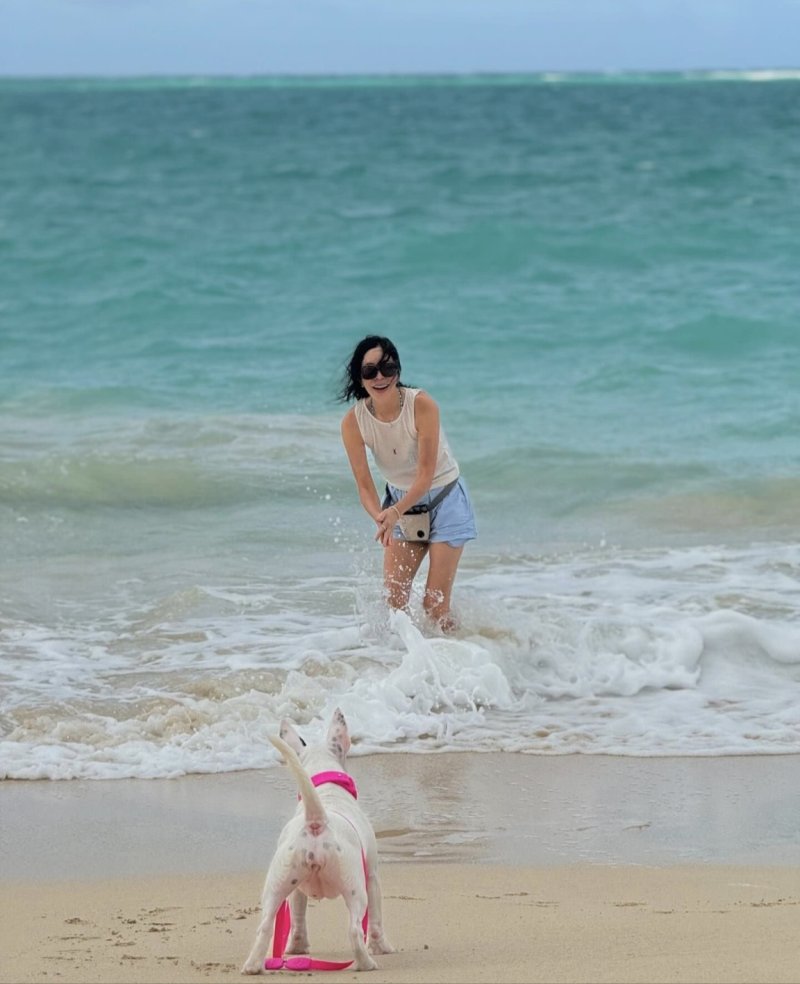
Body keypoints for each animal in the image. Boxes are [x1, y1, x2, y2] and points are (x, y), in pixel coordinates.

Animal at [242, 708, 396, 976]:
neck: (326, 790)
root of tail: (317, 821)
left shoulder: (297, 890)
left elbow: (298, 918)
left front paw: (297, 947)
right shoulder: (372, 877)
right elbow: (376, 920)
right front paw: (381, 947)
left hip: (278, 884)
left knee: (265, 926)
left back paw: (253, 966)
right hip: (355, 887)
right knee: (355, 929)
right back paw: (366, 963)